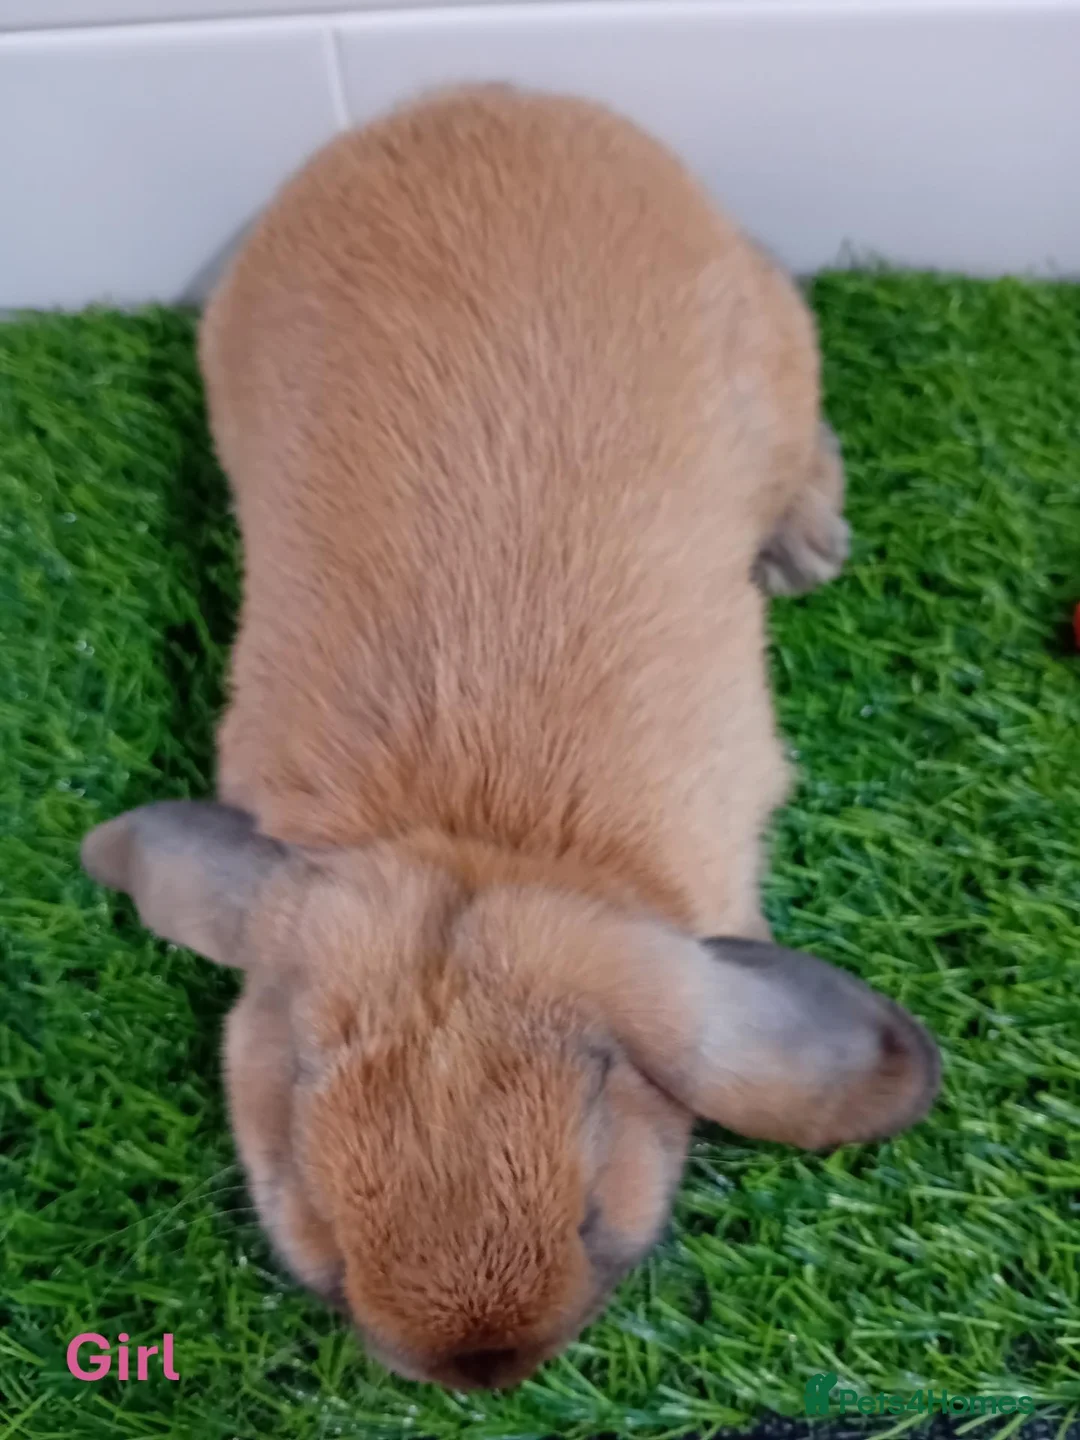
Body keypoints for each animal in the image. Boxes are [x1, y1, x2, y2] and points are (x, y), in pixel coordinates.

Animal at [81, 85, 939, 1391]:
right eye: (324, 1227)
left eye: (590, 1212)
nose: (477, 1369)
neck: (472, 831)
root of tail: (488, 95)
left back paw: (800, 552)